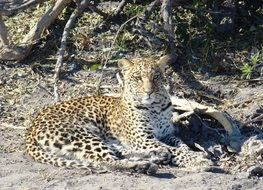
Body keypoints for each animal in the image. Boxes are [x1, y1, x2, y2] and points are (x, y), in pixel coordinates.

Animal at [25, 54, 213, 174]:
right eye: (138, 78)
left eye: (156, 77)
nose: (149, 92)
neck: (155, 107)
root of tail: (31, 129)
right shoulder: (141, 138)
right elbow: (176, 150)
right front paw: (197, 160)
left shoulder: (167, 135)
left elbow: (181, 145)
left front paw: (196, 155)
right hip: (82, 135)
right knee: (106, 161)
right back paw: (143, 165)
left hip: (97, 138)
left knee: (118, 152)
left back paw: (155, 156)